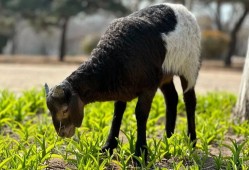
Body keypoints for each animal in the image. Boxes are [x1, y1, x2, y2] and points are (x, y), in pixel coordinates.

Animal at [44, 2, 200, 162]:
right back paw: (168, 139)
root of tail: (179, 7)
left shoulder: (149, 87)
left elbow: (141, 113)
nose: (62, 133)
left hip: (190, 65)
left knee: (189, 100)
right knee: (172, 98)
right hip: (165, 75)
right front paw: (107, 148)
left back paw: (191, 141)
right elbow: (117, 112)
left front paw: (141, 154)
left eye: (65, 110)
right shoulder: (122, 88)